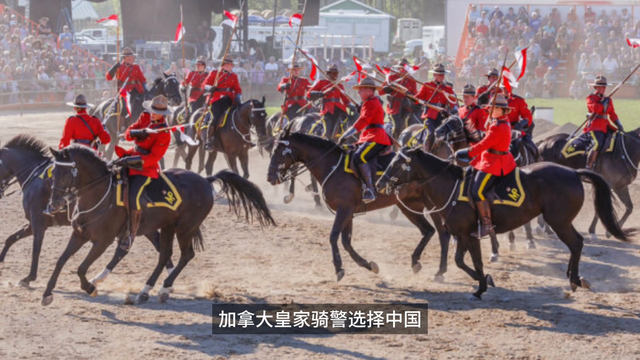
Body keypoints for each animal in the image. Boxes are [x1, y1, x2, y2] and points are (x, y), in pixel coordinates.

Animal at [0, 136, 172, 290]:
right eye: (54, 172)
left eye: (65, 173)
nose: (54, 203)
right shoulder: (32, 224)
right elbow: (11, 239)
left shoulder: (38, 223)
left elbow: (36, 249)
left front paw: (29, 278)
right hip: (142, 227)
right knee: (152, 247)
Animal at [43, 145, 274, 306]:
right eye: (53, 172)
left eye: (66, 173)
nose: (54, 204)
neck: (99, 193)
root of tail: (205, 180)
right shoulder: (79, 235)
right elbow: (61, 261)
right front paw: (47, 293)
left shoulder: (102, 241)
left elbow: (81, 268)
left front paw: (90, 287)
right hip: (167, 227)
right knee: (165, 255)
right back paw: (147, 290)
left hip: (185, 228)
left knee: (185, 255)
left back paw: (161, 289)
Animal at [264, 128, 450, 282]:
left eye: (279, 151)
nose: (270, 177)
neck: (332, 166)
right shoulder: (349, 212)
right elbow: (346, 241)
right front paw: (368, 265)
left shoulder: (344, 210)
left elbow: (333, 236)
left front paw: (339, 268)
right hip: (408, 206)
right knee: (428, 230)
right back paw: (415, 261)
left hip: (433, 207)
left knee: (443, 234)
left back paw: (440, 271)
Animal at [378, 148, 632, 300]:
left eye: (398, 164)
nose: (381, 183)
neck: (451, 187)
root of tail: (572, 172)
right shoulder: (463, 235)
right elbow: (460, 261)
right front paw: (483, 281)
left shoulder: (469, 236)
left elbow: (475, 262)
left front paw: (481, 286)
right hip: (562, 222)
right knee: (576, 243)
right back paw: (573, 278)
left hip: (558, 222)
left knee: (576, 244)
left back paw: (573, 280)